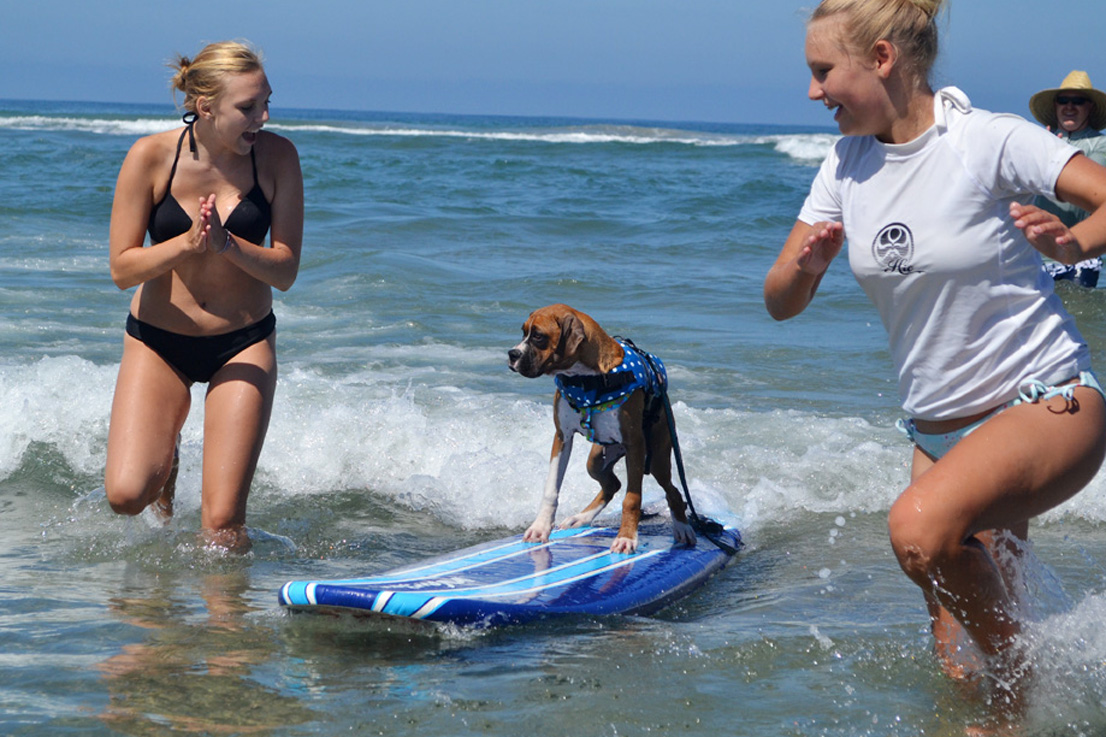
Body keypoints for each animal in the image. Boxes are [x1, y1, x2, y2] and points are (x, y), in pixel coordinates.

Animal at [506, 303, 694, 551]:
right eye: (523, 332)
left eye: (538, 336)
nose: (512, 354)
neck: (586, 378)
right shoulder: (562, 438)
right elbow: (551, 489)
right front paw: (540, 528)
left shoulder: (635, 445)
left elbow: (632, 498)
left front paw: (626, 537)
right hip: (596, 460)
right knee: (612, 483)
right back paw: (580, 518)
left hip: (656, 457)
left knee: (673, 491)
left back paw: (683, 528)